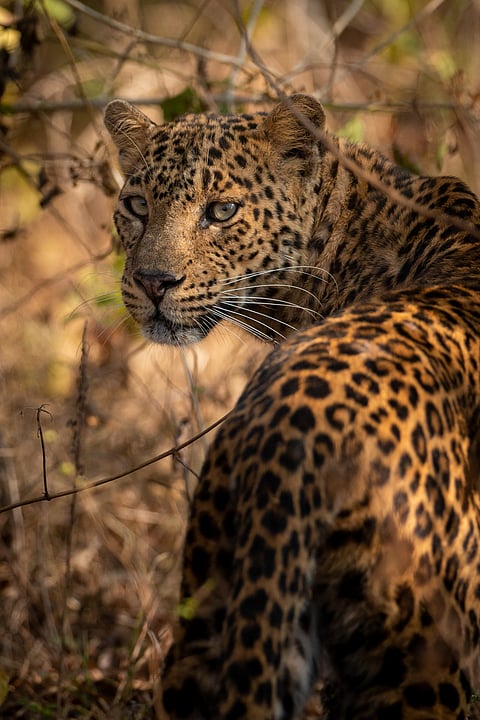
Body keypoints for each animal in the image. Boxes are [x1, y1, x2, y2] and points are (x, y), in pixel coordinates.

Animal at [104, 94, 480, 719]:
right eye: (137, 205)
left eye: (222, 211)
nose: (154, 281)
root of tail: (294, 435)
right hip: (422, 656)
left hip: (213, 601)